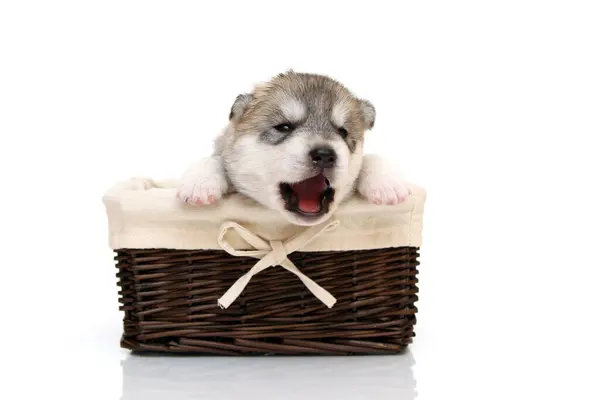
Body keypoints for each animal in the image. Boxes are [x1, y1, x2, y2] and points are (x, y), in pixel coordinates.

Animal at [176, 70, 410, 227]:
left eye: (343, 132)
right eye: (284, 127)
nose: (324, 155)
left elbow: (371, 158)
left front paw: (387, 184)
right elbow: (213, 159)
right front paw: (199, 183)